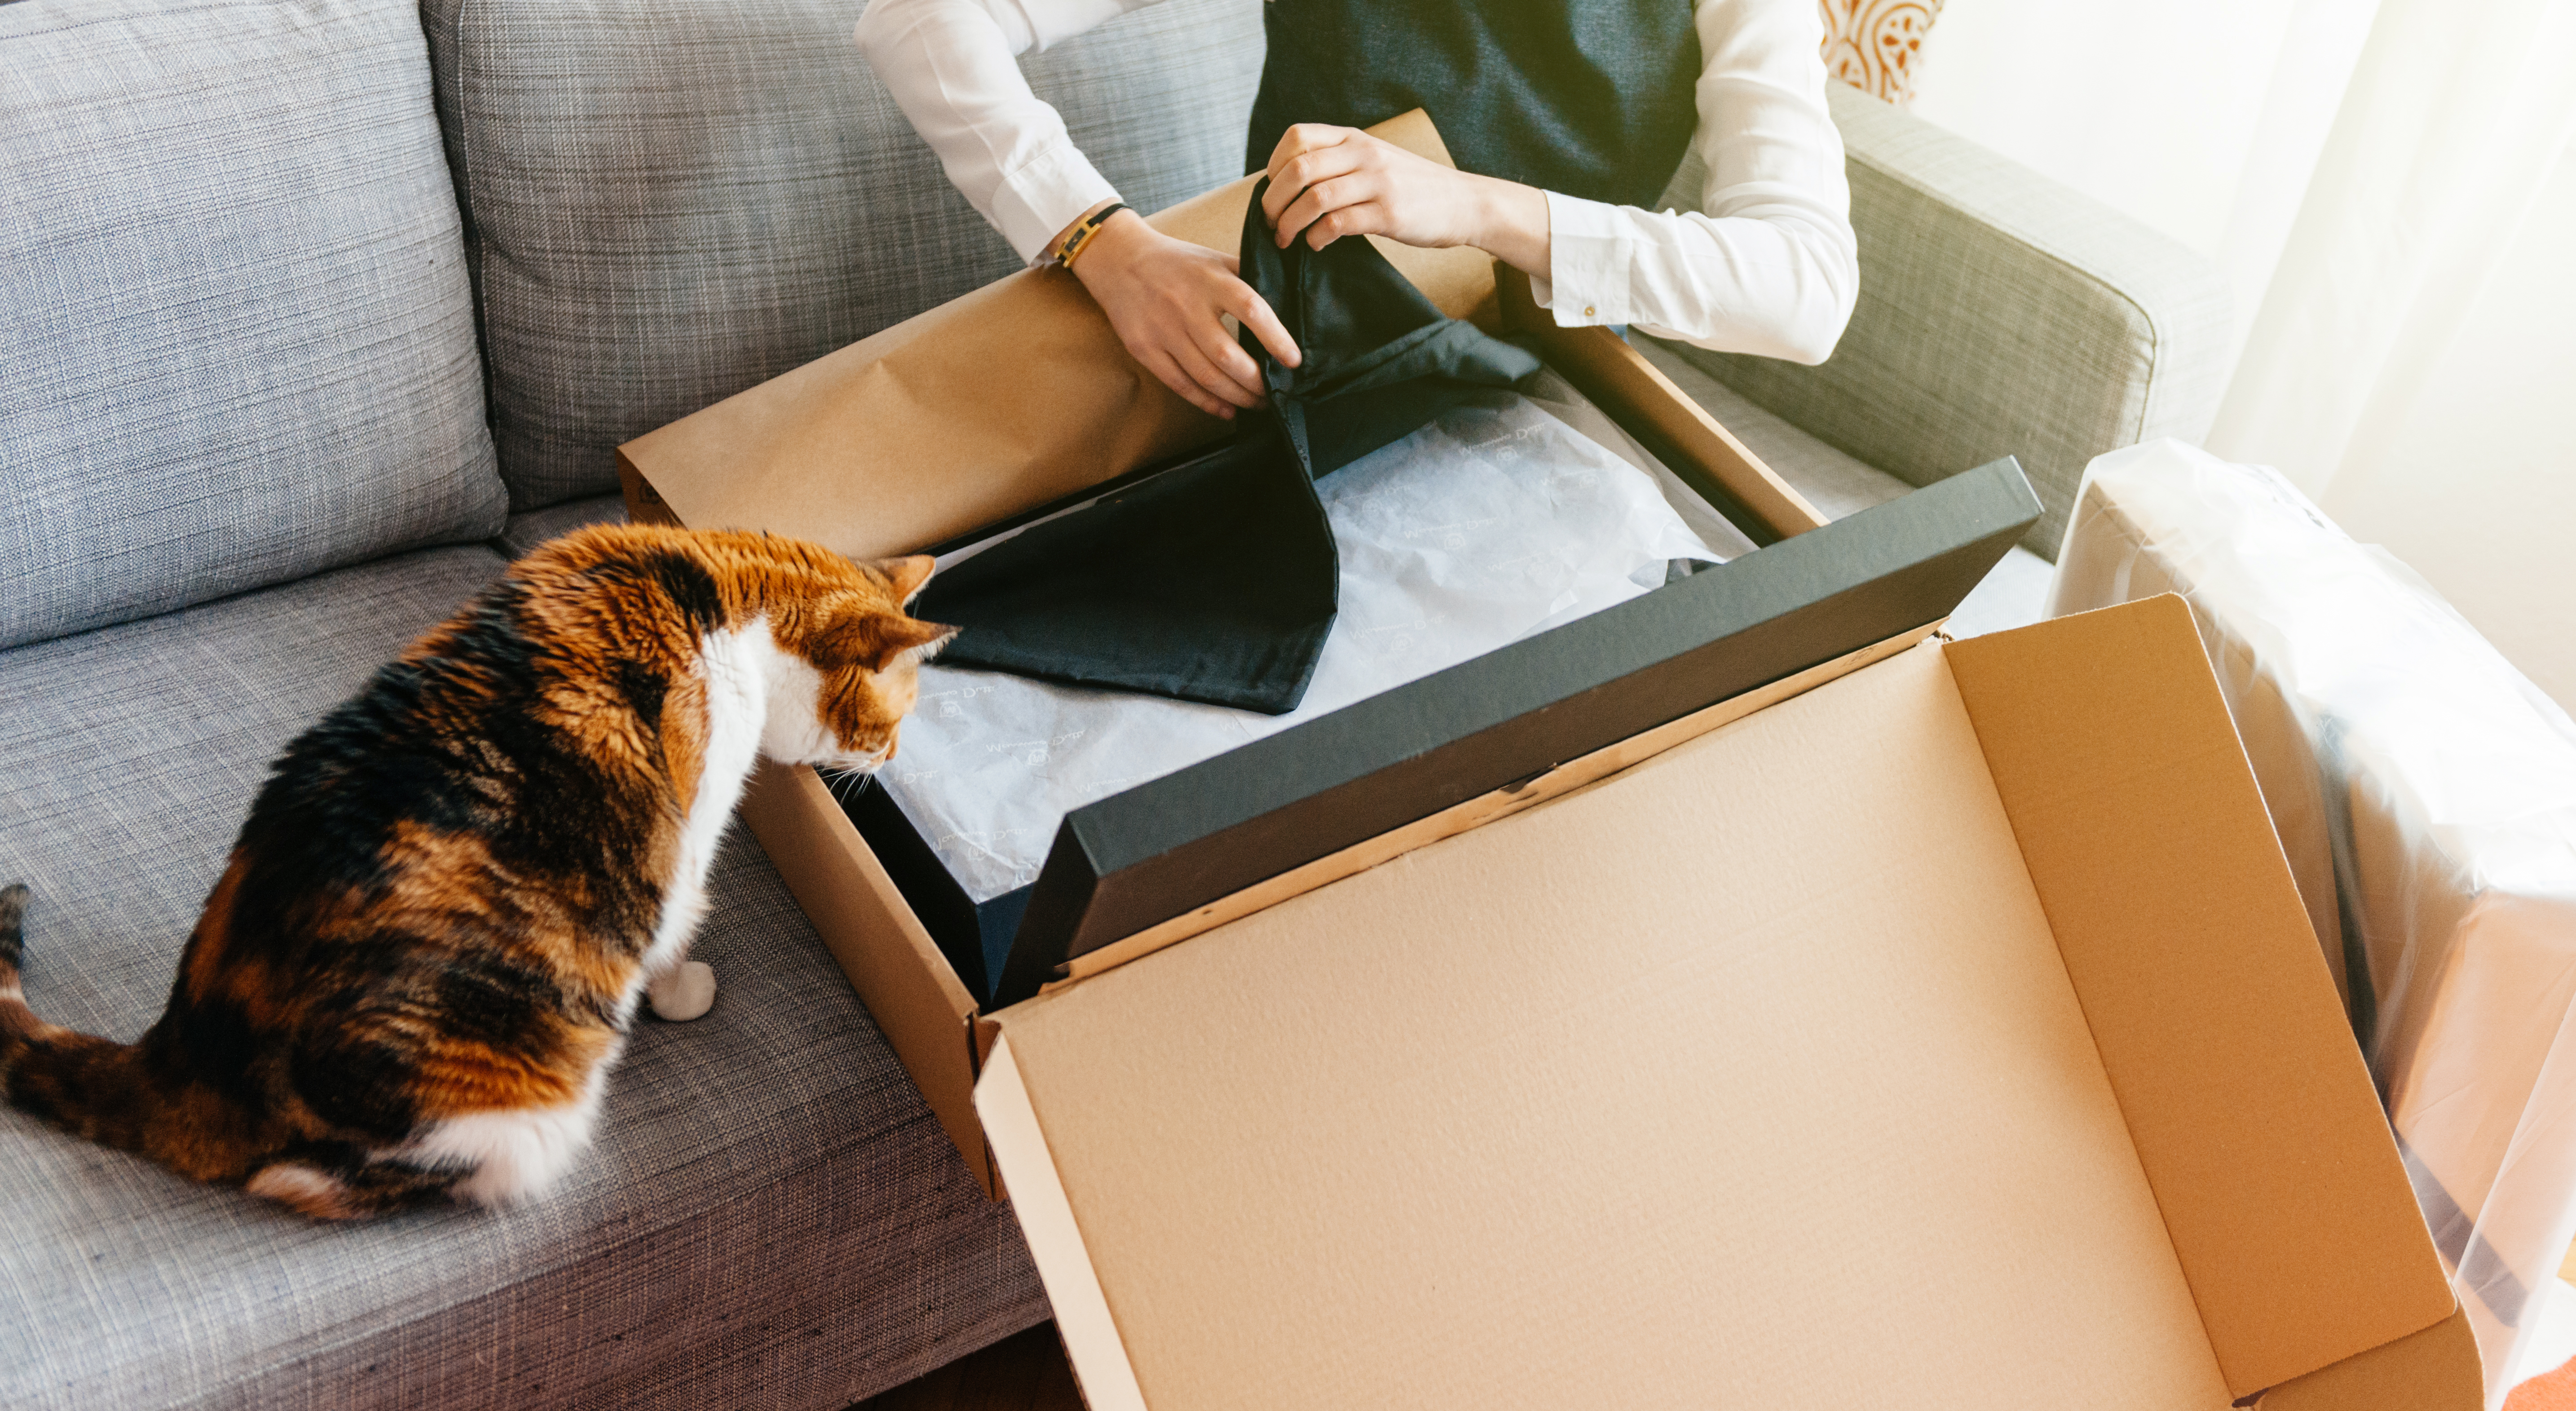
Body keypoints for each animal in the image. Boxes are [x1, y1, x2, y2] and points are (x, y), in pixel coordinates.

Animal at [0, 522, 953, 1220]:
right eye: (891, 720)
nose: (893, 759)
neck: (712, 584)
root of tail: (179, 1054)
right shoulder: (686, 836)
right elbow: (674, 926)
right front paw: (683, 991)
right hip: (525, 1120)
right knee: (303, 1181)